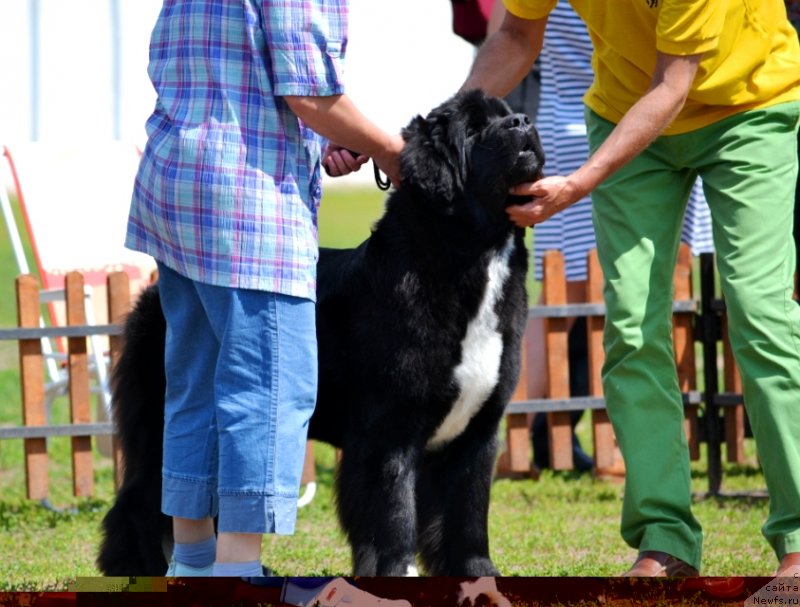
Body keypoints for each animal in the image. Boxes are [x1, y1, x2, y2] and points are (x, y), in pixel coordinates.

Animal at [95, 89, 544, 580]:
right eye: (476, 129)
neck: (471, 255)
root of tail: (152, 292)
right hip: (159, 418)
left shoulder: (478, 430)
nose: (524, 122)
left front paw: (480, 576)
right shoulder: (391, 429)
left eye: (507, 116)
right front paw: (396, 575)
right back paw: (134, 567)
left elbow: (467, 513)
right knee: (143, 499)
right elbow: (394, 512)